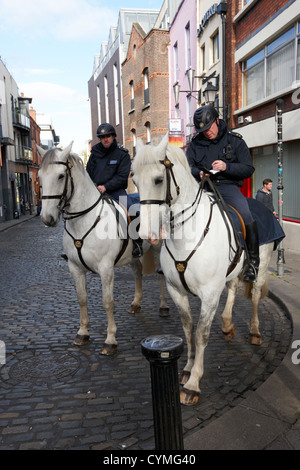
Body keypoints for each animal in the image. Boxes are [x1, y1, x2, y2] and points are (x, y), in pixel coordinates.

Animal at [37, 143, 169, 356]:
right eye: (40, 176)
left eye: (60, 176)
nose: (47, 218)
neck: (84, 220)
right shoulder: (75, 268)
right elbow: (82, 299)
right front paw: (82, 333)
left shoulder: (106, 269)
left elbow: (108, 302)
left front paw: (110, 340)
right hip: (133, 256)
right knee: (138, 272)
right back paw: (136, 303)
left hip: (157, 248)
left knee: (160, 275)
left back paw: (164, 307)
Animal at [132, 134, 276, 406]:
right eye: (133, 180)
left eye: (158, 179)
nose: (147, 234)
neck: (186, 234)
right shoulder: (176, 290)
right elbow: (188, 329)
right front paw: (187, 369)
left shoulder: (209, 294)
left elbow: (201, 334)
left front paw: (193, 384)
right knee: (232, 288)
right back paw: (228, 325)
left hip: (262, 264)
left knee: (253, 295)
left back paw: (254, 331)